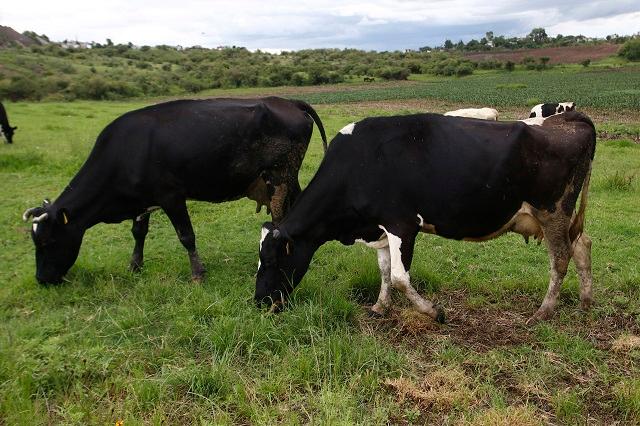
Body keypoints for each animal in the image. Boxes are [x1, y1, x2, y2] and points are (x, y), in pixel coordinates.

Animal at [22, 96, 328, 282]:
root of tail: (286, 101)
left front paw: (198, 273)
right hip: (287, 179)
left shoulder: (172, 197)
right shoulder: (142, 200)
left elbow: (186, 236)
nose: (41, 279)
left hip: (280, 177)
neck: (125, 151)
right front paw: (135, 265)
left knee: (281, 215)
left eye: (47, 242)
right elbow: (139, 232)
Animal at [255, 110, 596, 322]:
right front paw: (379, 307)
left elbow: (400, 277)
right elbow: (384, 270)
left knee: (561, 257)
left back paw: (543, 312)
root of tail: (570, 118)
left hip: (553, 211)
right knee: (582, 246)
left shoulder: (402, 225)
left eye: (271, 260)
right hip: (562, 218)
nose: (259, 303)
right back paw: (584, 304)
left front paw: (435, 312)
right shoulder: (379, 227)